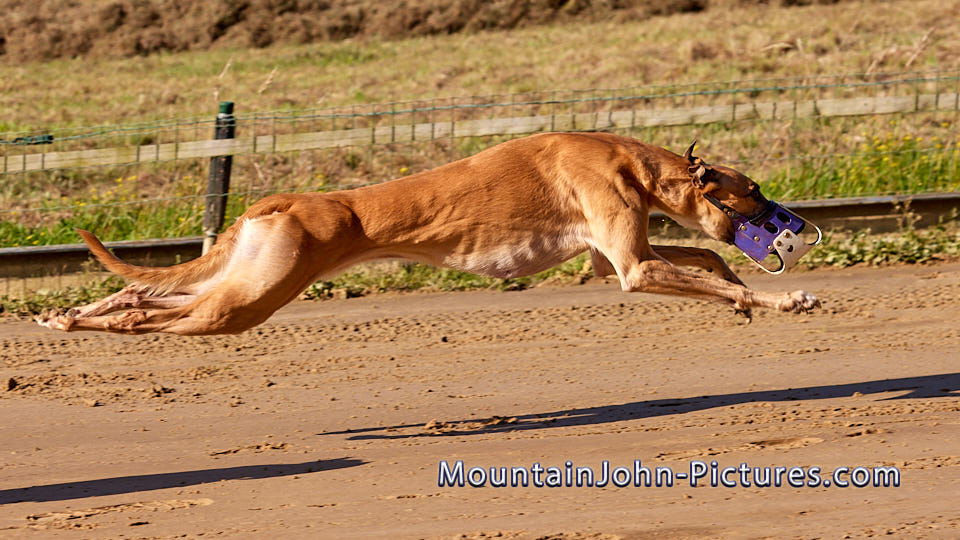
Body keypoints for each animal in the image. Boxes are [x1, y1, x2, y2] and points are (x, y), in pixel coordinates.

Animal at [35, 132, 820, 335]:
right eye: (755, 191)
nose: (794, 223)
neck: (630, 158)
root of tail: (284, 198)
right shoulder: (632, 267)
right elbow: (692, 269)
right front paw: (784, 299)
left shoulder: (613, 257)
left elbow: (704, 264)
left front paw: (742, 286)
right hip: (249, 300)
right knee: (158, 318)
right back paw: (92, 323)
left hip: (249, 278)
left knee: (147, 294)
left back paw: (75, 312)